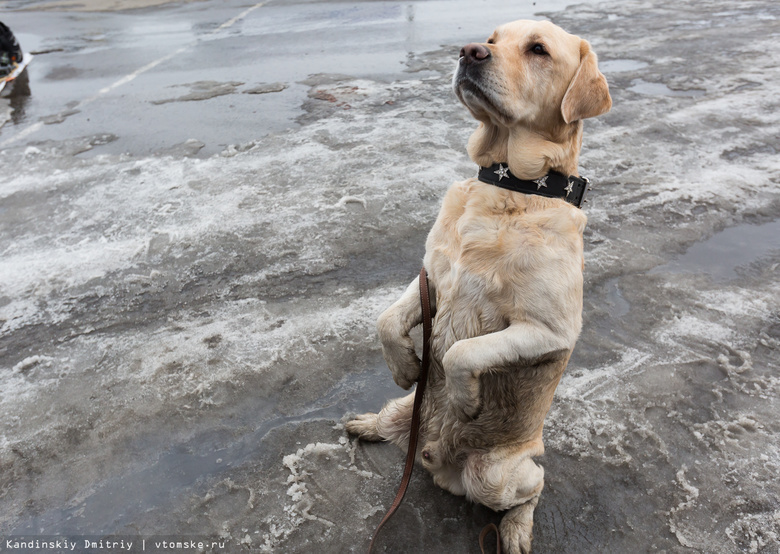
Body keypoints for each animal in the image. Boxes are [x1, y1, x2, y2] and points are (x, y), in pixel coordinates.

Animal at [346, 18, 608, 552]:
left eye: (538, 49)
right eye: (492, 39)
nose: (469, 52)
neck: (508, 189)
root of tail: (434, 462)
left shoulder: (549, 330)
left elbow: (460, 352)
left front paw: (465, 399)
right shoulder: (432, 276)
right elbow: (386, 319)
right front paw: (406, 365)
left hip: (496, 474)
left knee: (532, 489)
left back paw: (514, 531)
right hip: (406, 412)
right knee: (389, 419)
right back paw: (367, 425)